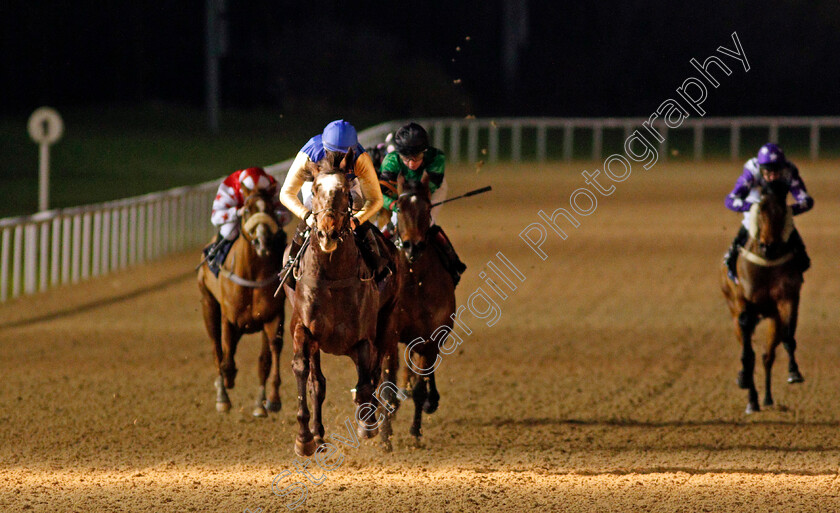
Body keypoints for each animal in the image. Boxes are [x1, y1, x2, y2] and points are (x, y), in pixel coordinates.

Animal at [197, 188, 288, 416]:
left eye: (271, 209)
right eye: (247, 210)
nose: (262, 242)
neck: (253, 275)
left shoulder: (273, 317)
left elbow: (268, 357)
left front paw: (269, 401)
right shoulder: (230, 318)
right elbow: (226, 357)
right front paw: (227, 384)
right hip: (208, 305)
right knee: (216, 349)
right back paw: (222, 394)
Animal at [282, 149, 400, 456]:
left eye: (346, 191)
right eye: (314, 189)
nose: (328, 233)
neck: (333, 277)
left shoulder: (364, 338)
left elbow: (366, 381)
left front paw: (367, 425)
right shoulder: (302, 329)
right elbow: (305, 373)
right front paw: (305, 438)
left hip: (387, 323)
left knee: (378, 374)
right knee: (319, 382)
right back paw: (319, 436)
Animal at [384, 172, 456, 444]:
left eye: (427, 209)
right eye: (399, 207)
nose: (412, 246)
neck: (416, 282)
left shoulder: (432, 335)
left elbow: (419, 385)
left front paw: (415, 431)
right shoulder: (389, 335)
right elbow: (387, 383)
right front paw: (385, 435)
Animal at [720, 178, 804, 414]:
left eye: (781, 212)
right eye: (761, 212)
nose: (768, 246)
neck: (767, 264)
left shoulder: (787, 300)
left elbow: (788, 338)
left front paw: (794, 372)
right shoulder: (742, 303)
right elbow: (747, 353)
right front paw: (744, 381)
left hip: (773, 318)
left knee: (768, 356)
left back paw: (766, 397)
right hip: (734, 311)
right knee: (753, 352)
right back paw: (752, 399)